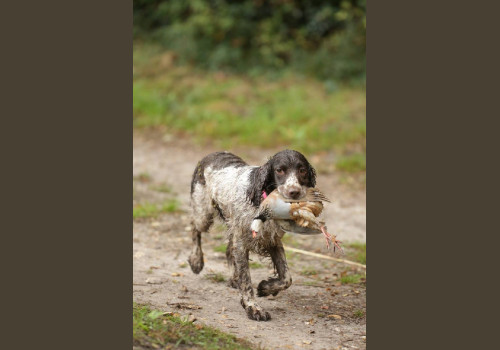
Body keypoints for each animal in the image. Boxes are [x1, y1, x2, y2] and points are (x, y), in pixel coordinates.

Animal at [188, 148, 316, 320]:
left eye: (302, 170)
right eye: (279, 170)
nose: (293, 192)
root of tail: (213, 154)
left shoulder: (272, 240)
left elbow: (286, 278)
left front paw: (266, 288)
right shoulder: (242, 243)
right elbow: (246, 281)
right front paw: (253, 308)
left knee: (228, 250)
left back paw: (233, 278)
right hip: (204, 212)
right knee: (194, 227)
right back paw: (196, 260)